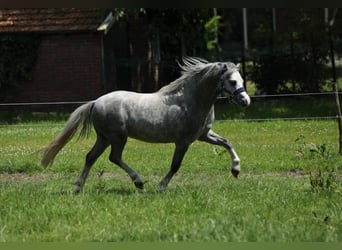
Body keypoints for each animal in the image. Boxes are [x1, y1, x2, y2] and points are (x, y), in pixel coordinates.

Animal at [42, 57, 251, 193]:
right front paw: (161, 187)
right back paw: (139, 182)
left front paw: (236, 170)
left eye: (241, 80)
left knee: (91, 157)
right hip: (118, 137)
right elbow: (175, 165)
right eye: (233, 81)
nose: (246, 101)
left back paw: (79, 187)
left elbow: (227, 143)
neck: (190, 100)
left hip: (105, 137)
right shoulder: (183, 142)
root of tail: (96, 102)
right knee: (114, 157)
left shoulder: (204, 135)